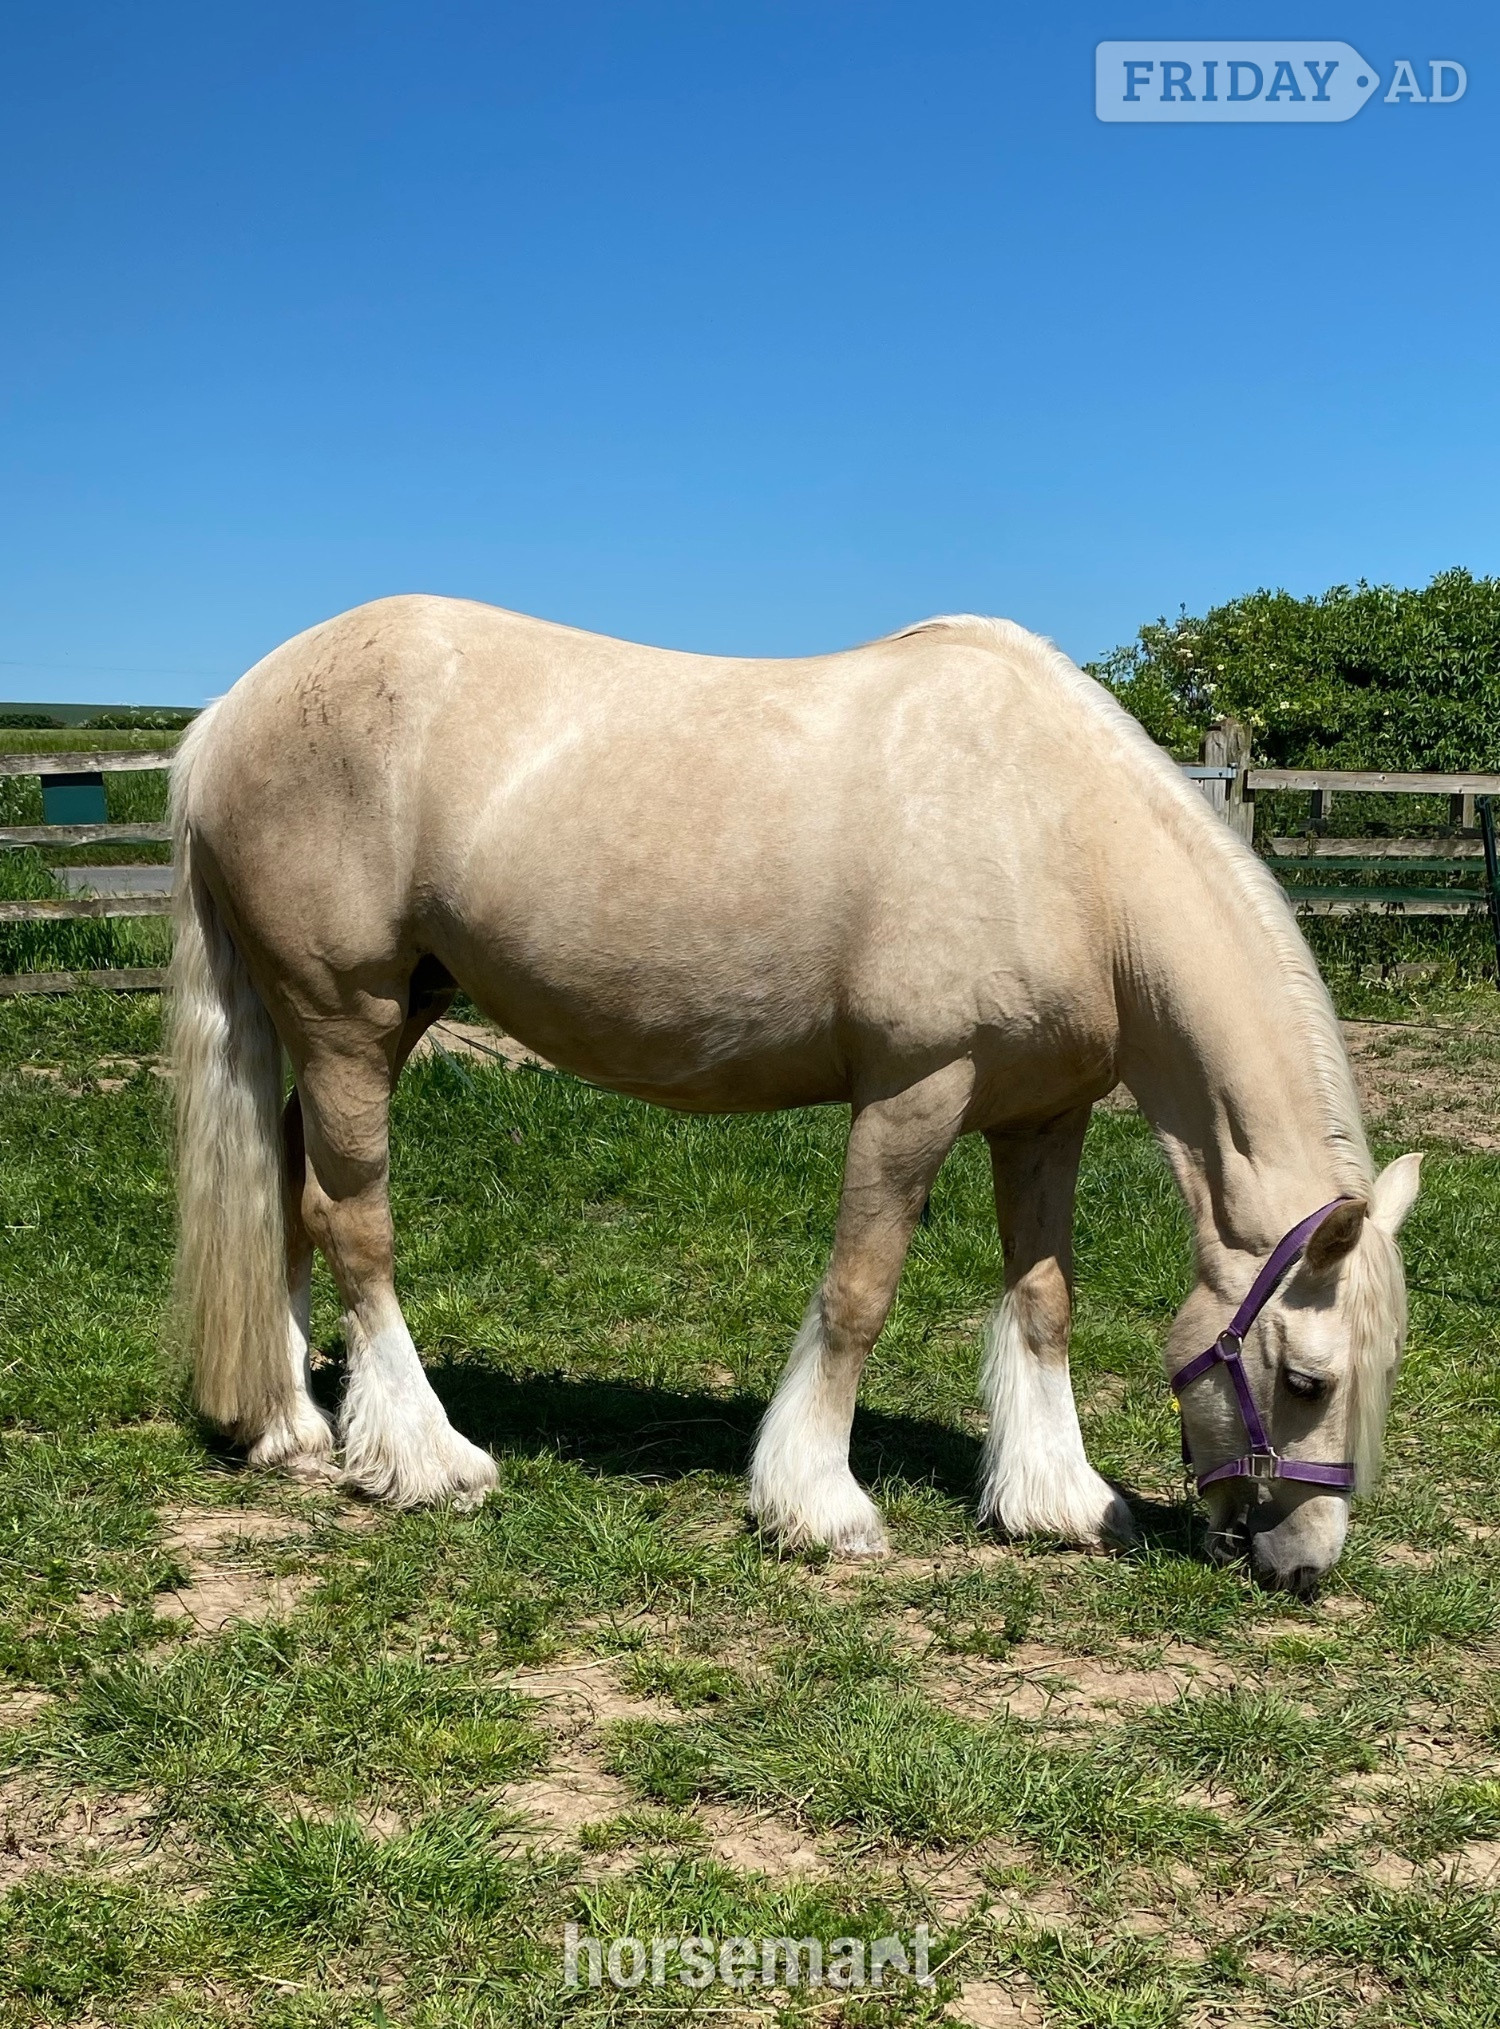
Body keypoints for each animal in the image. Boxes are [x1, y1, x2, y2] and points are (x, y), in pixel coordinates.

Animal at [168, 597, 1421, 1595]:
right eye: (1306, 1377)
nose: (1303, 1567)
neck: (1064, 841)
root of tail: (226, 718)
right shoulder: (915, 1094)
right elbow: (860, 1292)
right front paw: (818, 1504)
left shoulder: (1040, 1116)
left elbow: (1045, 1299)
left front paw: (1057, 1499)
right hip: (345, 1016)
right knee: (351, 1220)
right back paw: (426, 1460)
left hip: (381, 1018)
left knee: (288, 1187)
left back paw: (289, 1424)